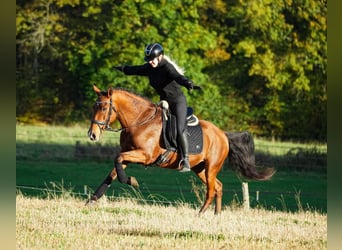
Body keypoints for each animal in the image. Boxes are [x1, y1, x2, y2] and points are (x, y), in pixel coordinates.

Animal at [85, 85, 276, 215]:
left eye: (103, 107)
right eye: (94, 107)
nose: (92, 135)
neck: (140, 120)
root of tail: (223, 134)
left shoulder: (144, 155)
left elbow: (117, 160)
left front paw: (132, 181)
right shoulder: (129, 154)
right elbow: (113, 171)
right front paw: (91, 200)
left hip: (211, 167)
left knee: (211, 190)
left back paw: (200, 214)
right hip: (200, 169)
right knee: (218, 187)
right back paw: (216, 214)